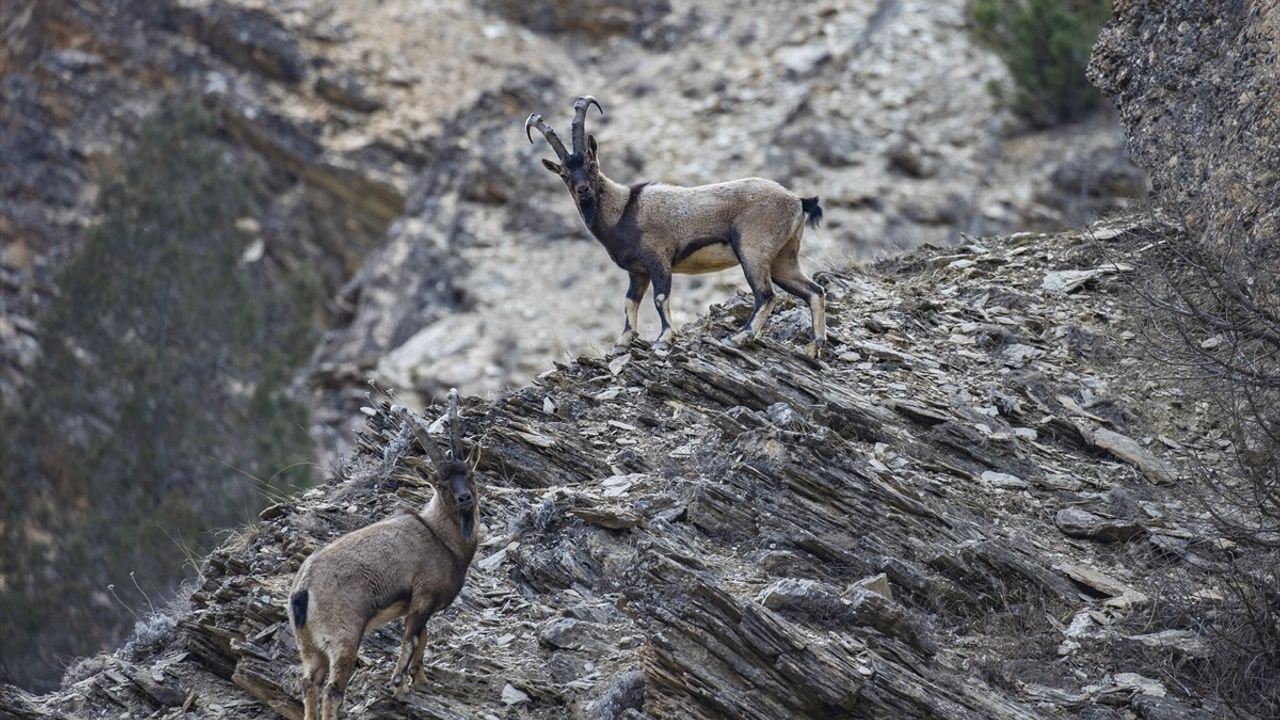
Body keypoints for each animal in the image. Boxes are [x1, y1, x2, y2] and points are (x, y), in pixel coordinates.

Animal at [288, 389, 478, 717]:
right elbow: (411, 638)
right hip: (344, 638)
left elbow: (423, 637)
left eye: (469, 475)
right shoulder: (423, 597)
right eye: (441, 483)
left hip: (309, 646)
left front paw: (420, 679)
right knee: (332, 690)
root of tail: (303, 590)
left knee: (309, 683)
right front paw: (400, 684)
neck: (441, 538)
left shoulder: (418, 606)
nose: (465, 498)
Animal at [522, 92, 829, 356]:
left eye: (591, 164)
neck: (622, 210)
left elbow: (659, 298)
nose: (584, 189)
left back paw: (740, 336)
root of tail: (797, 200)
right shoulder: (637, 272)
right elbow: (629, 302)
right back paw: (813, 349)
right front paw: (622, 342)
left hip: (753, 251)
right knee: (814, 291)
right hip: (783, 258)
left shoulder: (658, 259)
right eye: (564, 174)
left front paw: (664, 338)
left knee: (766, 294)